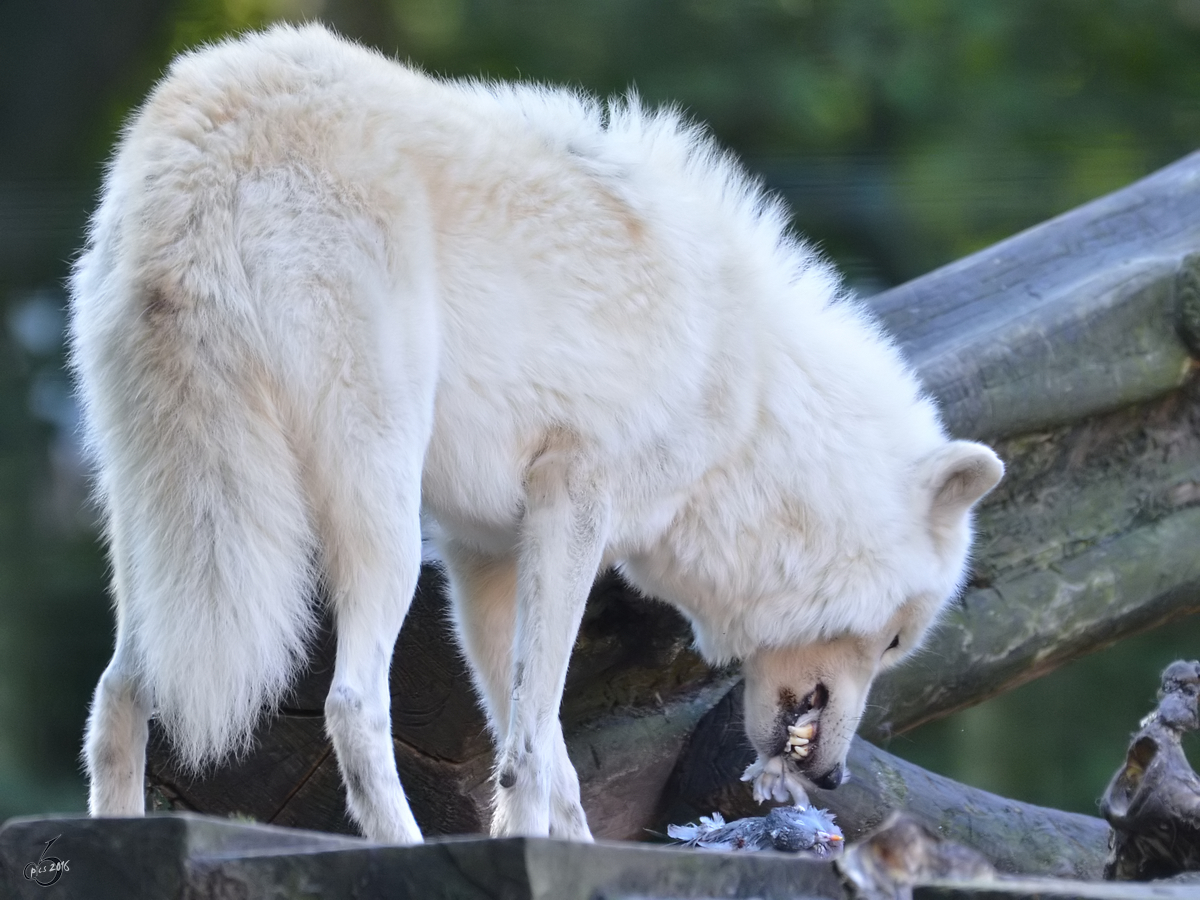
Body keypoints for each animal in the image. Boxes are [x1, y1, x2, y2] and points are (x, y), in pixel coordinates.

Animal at [70, 24, 998, 849]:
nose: (835, 778)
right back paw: (404, 847)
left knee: (117, 695)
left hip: (162, 522)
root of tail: (207, 139)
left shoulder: (484, 556)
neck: (748, 405)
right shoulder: (570, 507)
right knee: (352, 703)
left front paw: (572, 845)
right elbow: (531, 737)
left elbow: (545, 750)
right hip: (377, 517)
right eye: (894, 641)